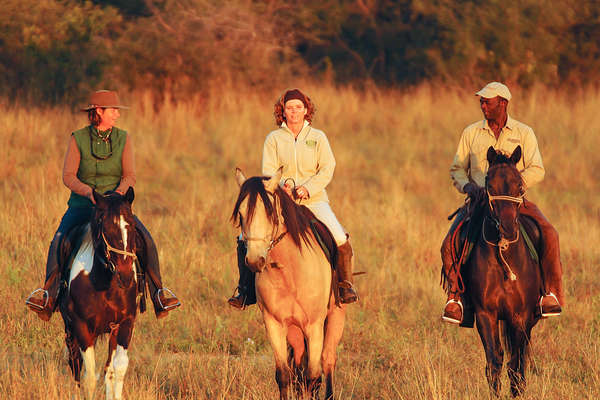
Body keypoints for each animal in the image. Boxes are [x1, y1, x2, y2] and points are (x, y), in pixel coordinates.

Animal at [61, 188, 141, 400]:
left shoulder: (125, 324)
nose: (126, 276)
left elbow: (117, 370)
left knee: (108, 371)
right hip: (72, 330)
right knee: (76, 365)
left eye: (132, 227)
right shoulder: (81, 326)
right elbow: (89, 377)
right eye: (107, 230)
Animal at [233, 167, 346, 398]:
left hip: (334, 319)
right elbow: (284, 375)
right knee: (300, 369)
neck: (289, 271)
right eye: (241, 213)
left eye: (270, 213)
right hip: (294, 331)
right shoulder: (273, 324)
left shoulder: (314, 326)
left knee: (327, 362)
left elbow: (313, 376)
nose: (255, 261)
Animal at [466, 147, 548, 396]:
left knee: (522, 358)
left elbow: (515, 365)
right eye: (489, 185)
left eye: (520, 186)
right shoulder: (486, 315)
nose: (508, 228)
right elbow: (494, 363)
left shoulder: (519, 316)